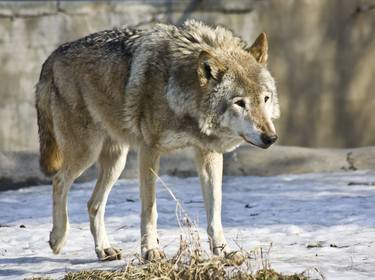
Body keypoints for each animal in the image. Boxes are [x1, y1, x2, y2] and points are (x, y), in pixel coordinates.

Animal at [36, 20, 280, 262]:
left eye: (265, 99)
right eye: (240, 103)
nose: (271, 138)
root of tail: (53, 55)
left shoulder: (208, 153)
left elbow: (215, 208)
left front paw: (224, 250)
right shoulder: (149, 151)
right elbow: (149, 209)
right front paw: (150, 250)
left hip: (116, 162)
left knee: (93, 204)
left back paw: (104, 249)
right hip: (87, 152)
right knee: (59, 181)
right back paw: (58, 239)